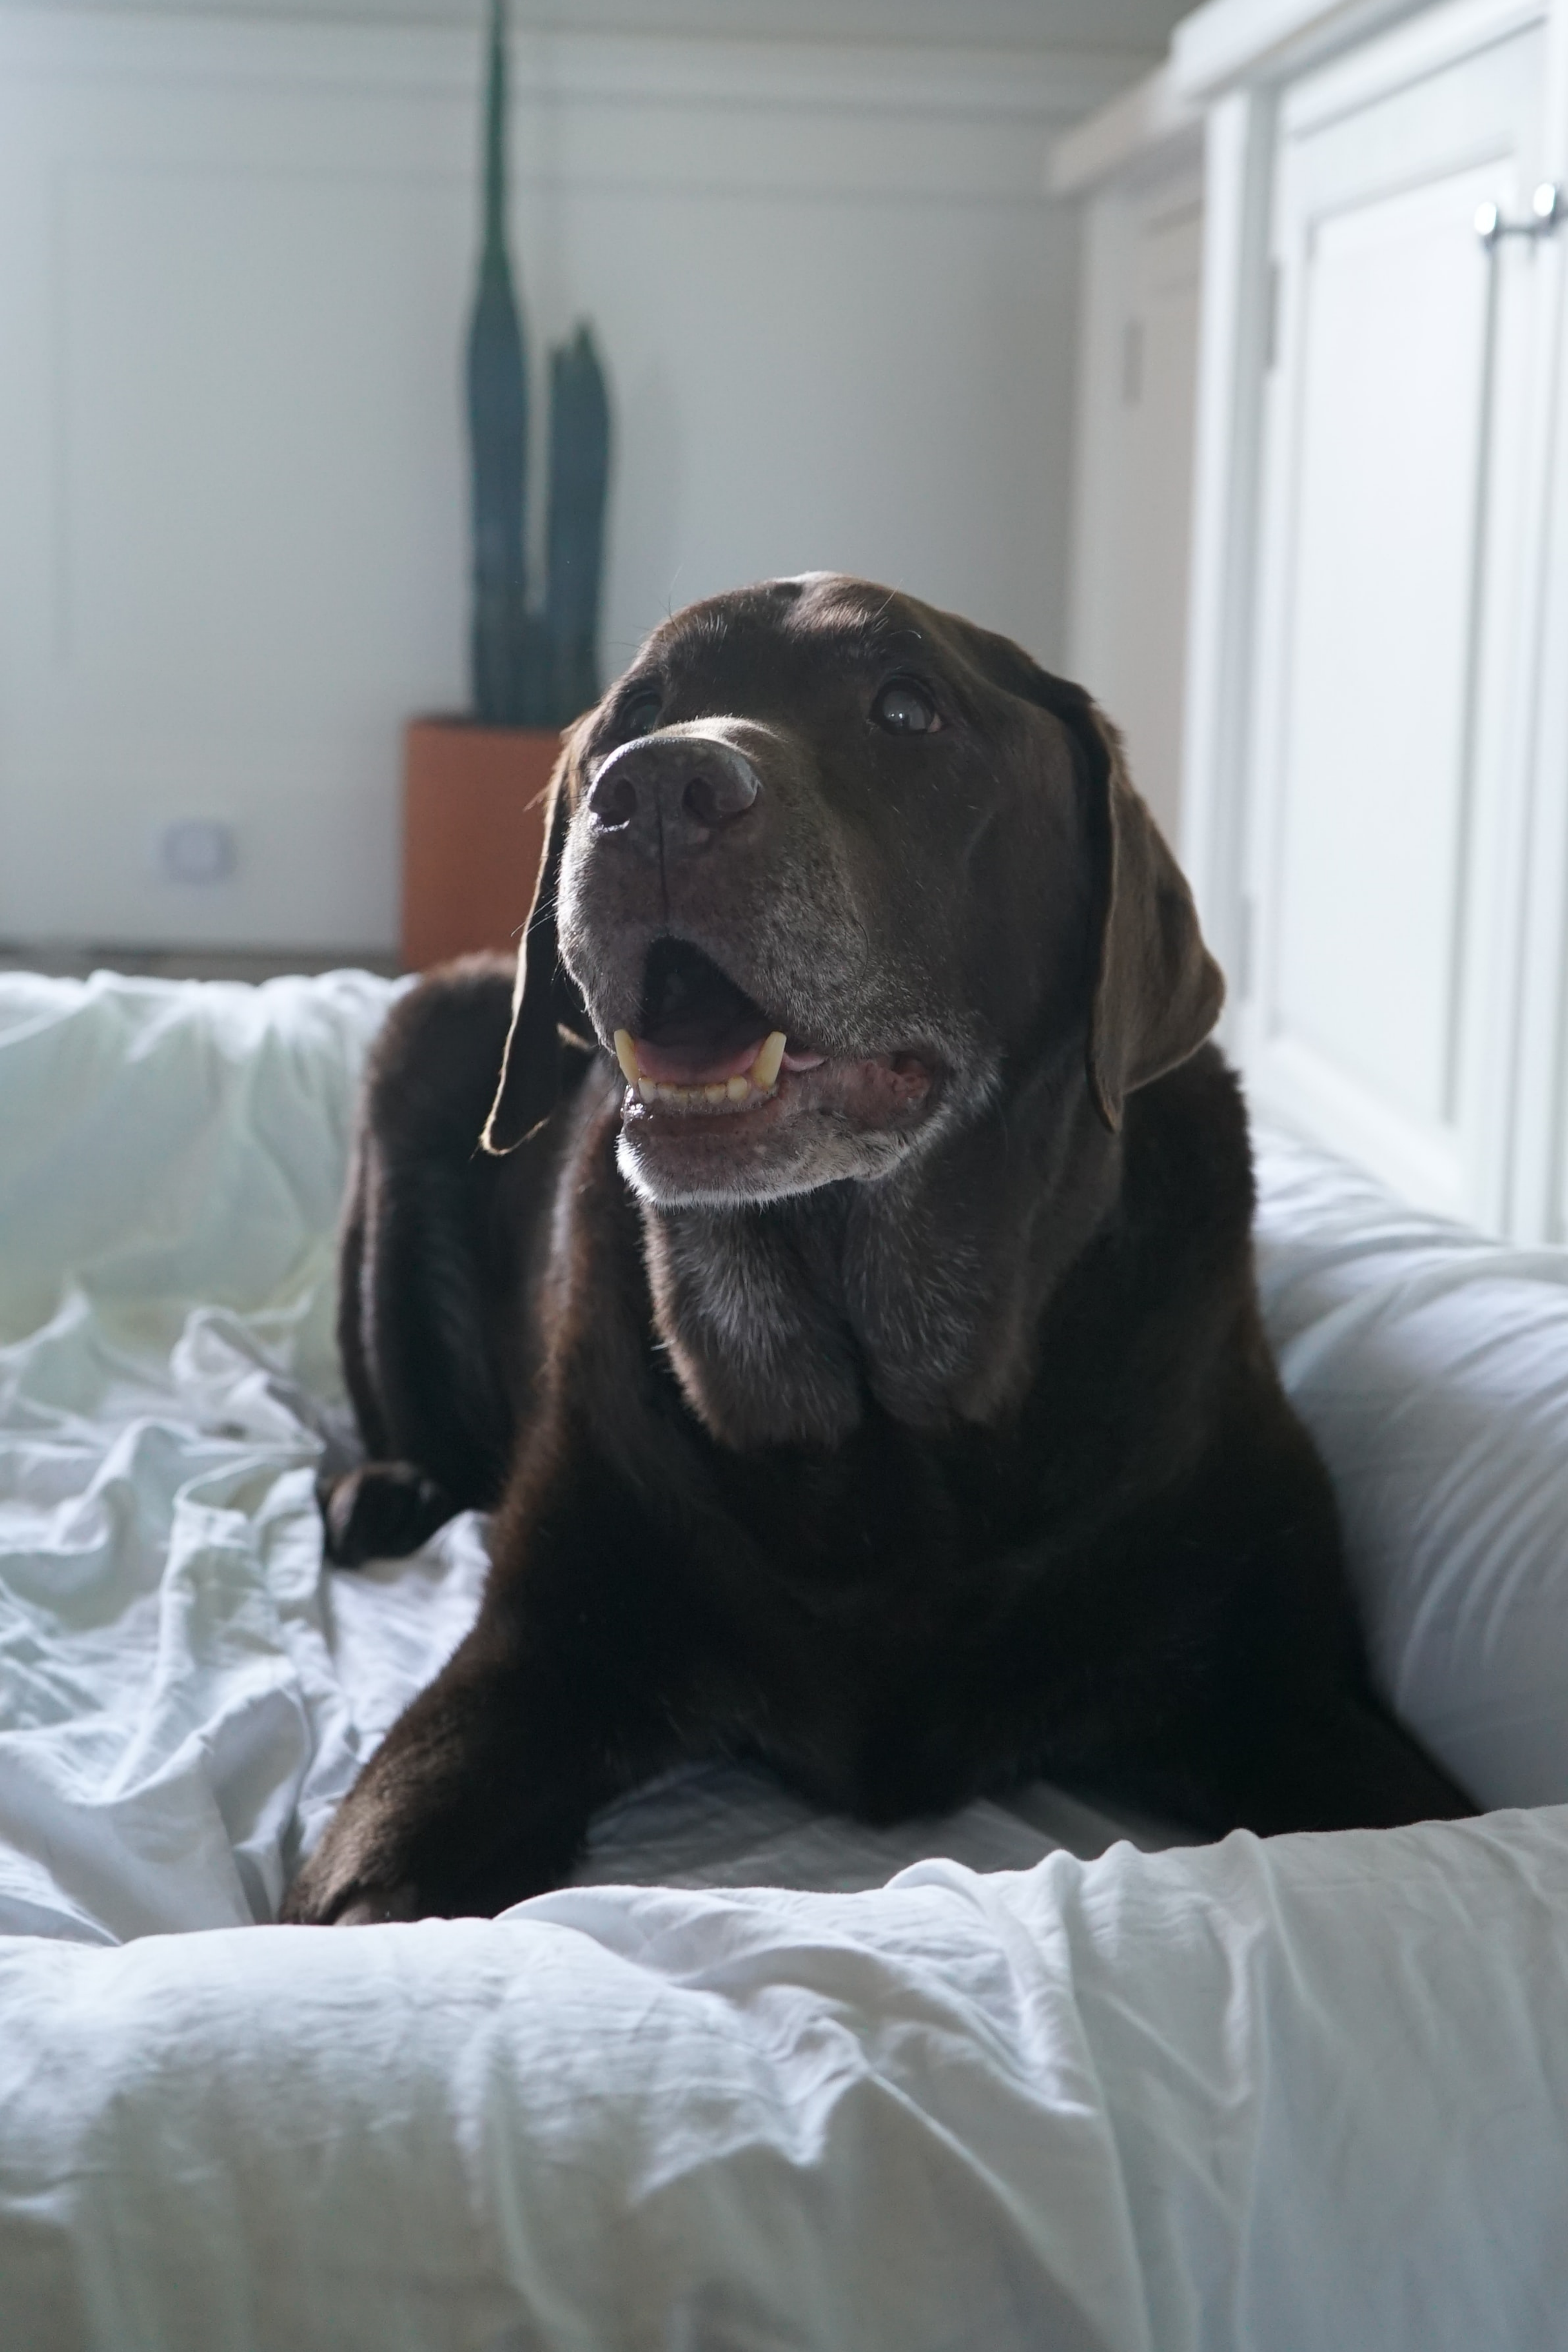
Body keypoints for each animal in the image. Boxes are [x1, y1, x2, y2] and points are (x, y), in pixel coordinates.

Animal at [285, 574, 1486, 1929]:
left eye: (907, 709)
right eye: (634, 715)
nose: (652, 790)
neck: (885, 1421)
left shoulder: (1288, 1688)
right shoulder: (533, 1661)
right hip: (424, 1040)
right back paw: (383, 1490)